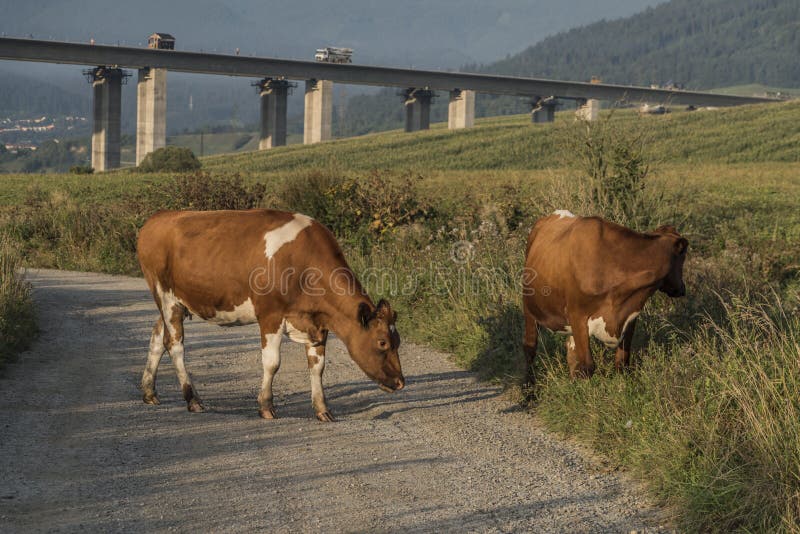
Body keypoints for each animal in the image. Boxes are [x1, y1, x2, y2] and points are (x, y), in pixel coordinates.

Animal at [137, 209, 406, 422]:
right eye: (382, 342)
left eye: (398, 341)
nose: (401, 382)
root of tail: (159, 217)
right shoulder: (270, 314)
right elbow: (272, 362)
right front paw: (266, 406)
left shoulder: (318, 323)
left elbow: (318, 367)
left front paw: (322, 409)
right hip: (166, 297)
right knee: (174, 345)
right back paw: (192, 399)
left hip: (177, 302)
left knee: (157, 337)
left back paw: (149, 392)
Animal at [520, 211, 684, 384]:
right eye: (683, 256)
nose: (681, 289)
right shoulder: (577, 316)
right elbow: (587, 366)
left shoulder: (630, 316)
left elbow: (622, 361)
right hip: (529, 308)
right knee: (530, 346)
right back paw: (528, 386)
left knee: (570, 350)